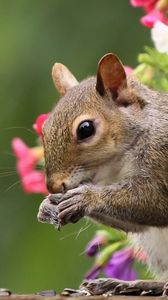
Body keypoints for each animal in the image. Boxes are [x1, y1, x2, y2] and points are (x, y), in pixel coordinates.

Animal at [37, 53, 168, 296]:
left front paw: (86, 198)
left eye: (85, 129)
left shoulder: (162, 159)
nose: (53, 186)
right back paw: (125, 284)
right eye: (44, 128)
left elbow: (155, 203)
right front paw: (47, 206)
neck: (117, 166)